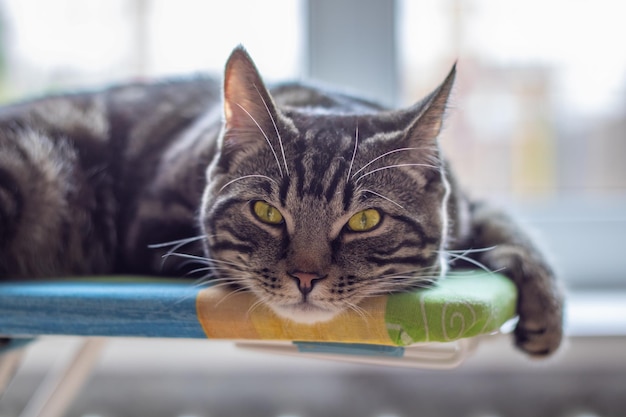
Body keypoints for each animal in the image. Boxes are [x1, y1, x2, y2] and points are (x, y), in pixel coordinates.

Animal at [0, 47, 564, 356]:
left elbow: (503, 223)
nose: (305, 277)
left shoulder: (467, 204)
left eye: (366, 220)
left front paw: (546, 305)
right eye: (267, 212)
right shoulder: (155, 230)